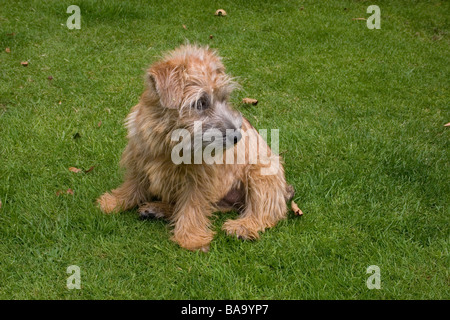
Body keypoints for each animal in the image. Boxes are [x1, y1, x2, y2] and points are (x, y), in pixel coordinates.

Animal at [97, 44, 296, 252]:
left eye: (224, 99)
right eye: (201, 102)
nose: (237, 136)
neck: (169, 143)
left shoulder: (199, 179)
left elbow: (192, 206)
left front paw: (190, 238)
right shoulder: (139, 159)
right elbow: (132, 184)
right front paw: (115, 201)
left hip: (261, 172)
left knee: (267, 211)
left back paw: (243, 226)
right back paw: (157, 208)